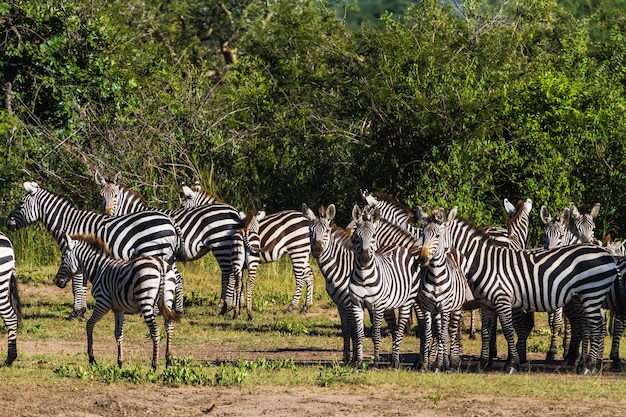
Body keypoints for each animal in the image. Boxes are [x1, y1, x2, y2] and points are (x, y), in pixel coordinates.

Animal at [7, 179, 183, 318]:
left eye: (21, 204)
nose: (8, 223)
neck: (66, 223)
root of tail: (170, 221)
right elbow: (82, 285)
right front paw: (82, 311)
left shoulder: (73, 254)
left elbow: (76, 285)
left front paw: (76, 313)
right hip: (167, 256)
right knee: (174, 278)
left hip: (153, 251)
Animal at [54, 234, 179, 368]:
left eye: (63, 258)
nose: (57, 282)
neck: (98, 269)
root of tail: (161, 264)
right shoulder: (119, 309)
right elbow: (118, 333)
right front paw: (120, 362)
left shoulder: (102, 303)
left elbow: (89, 324)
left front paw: (92, 358)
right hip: (168, 299)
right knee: (169, 326)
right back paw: (168, 361)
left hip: (146, 301)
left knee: (155, 331)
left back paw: (154, 364)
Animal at [346, 203, 420, 366]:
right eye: (357, 236)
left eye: (373, 236)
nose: (365, 258)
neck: (364, 276)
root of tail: (399, 247)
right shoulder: (357, 304)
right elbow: (359, 334)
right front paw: (359, 362)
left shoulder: (377, 305)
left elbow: (375, 334)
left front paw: (375, 363)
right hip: (389, 306)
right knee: (393, 329)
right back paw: (392, 358)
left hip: (407, 302)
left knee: (399, 331)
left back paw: (396, 361)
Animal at [414, 206, 468, 372]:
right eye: (422, 235)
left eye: (437, 235)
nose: (422, 259)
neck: (436, 277)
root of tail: (450, 248)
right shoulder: (427, 308)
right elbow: (429, 334)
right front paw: (426, 365)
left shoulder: (445, 307)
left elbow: (444, 335)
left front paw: (441, 365)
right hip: (436, 311)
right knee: (439, 332)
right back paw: (442, 361)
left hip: (456, 308)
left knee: (451, 331)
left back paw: (451, 362)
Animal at [442, 214, 616, 374]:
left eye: (437, 235)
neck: (485, 261)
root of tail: (608, 254)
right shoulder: (486, 302)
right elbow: (485, 331)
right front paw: (483, 362)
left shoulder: (497, 298)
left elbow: (506, 330)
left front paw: (511, 363)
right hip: (581, 298)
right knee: (585, 324)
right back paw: (580, 361)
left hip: (591, 295)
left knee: (596, 326)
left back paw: (588, 365)